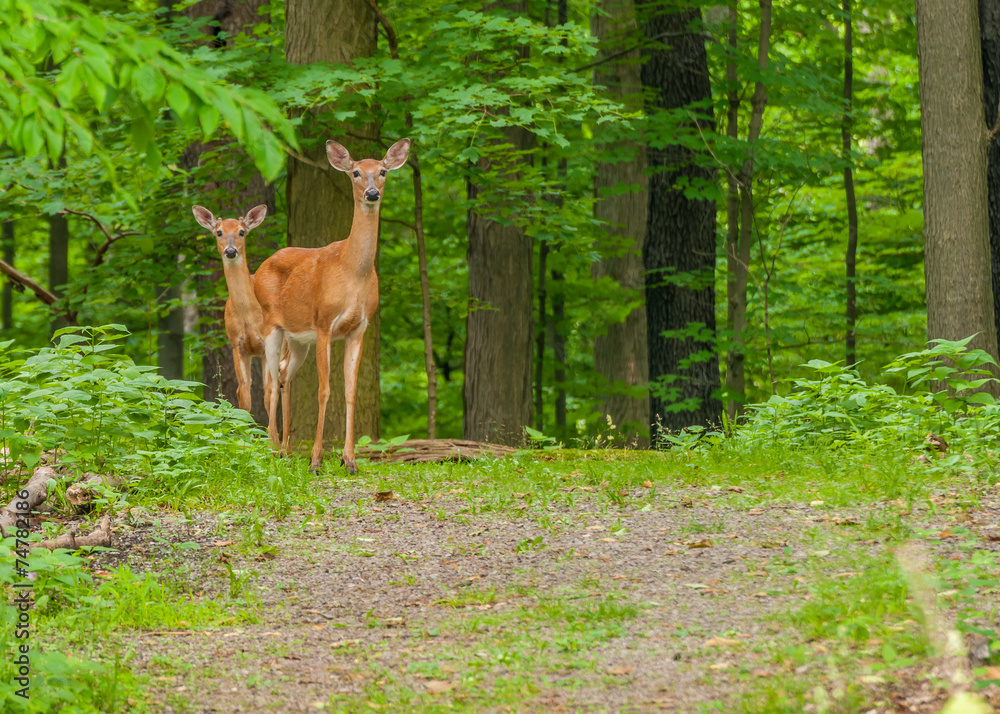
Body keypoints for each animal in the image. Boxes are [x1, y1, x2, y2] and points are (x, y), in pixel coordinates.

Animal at [253, 138, 411, 473]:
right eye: (355, 172)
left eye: (382, 171)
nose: (372, 193)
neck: (353, 272)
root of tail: (260, 268)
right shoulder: (325, 323)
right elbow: (323, 390)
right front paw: (316, 459)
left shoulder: (359, 328)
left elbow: (350, 392)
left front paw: (349, 459)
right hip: (270, 324)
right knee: (270, 381)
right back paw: (272, 449)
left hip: (298, 338)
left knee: (284, 373)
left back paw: (285, 449)